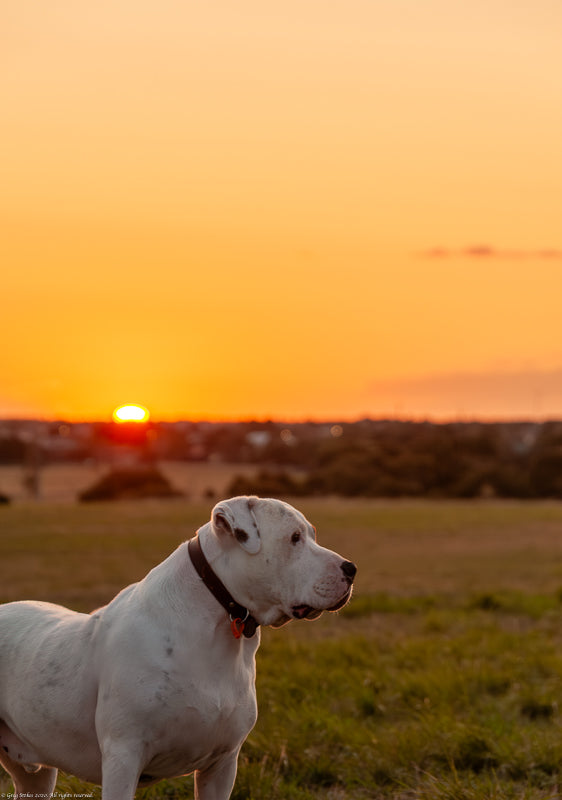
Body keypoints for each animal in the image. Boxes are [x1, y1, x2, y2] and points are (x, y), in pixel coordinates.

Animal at [0, 496, 354, 796]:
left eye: (311, 535)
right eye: (294, 538)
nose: (351, 568)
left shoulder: (222, 766)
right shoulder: (123, 758)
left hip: (36, 774)